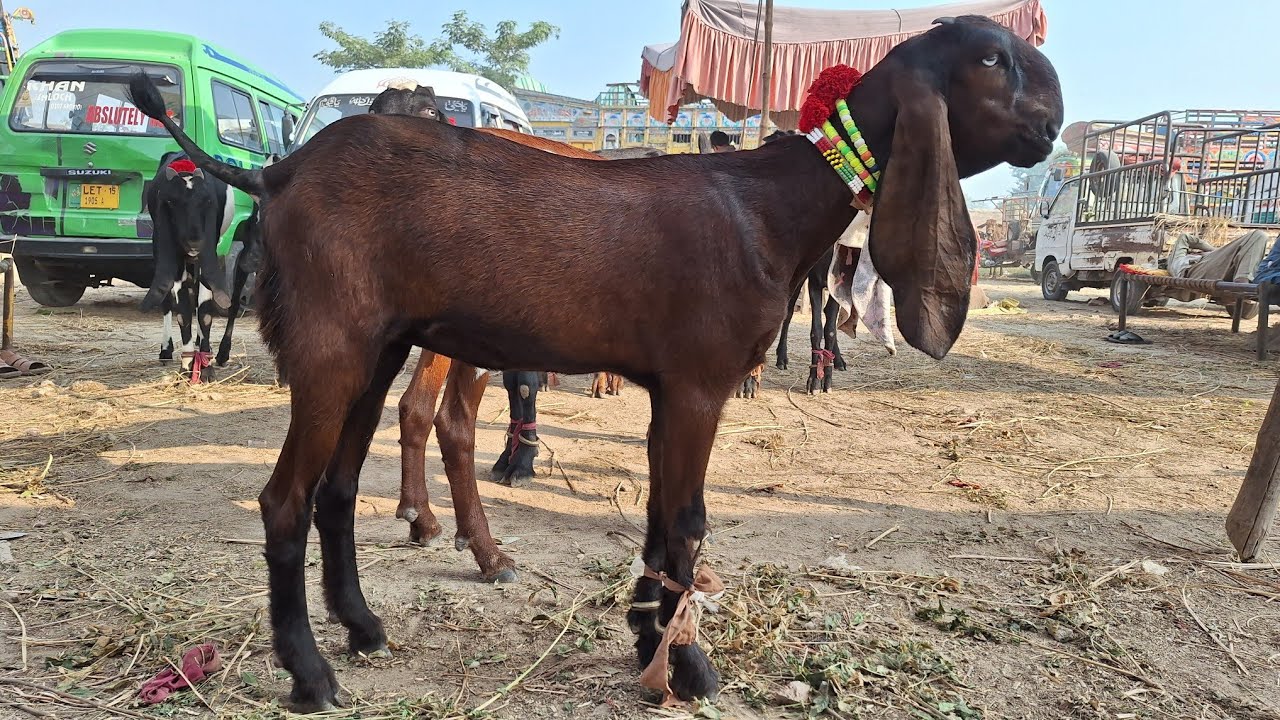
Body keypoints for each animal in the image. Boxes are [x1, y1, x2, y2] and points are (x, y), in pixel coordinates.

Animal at [130, 15, 1061, 710]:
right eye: (991, 57)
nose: (1052, 122)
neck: (771, 202)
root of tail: (277, 171)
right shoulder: (699, 383)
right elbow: (686, 521)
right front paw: (687, 667)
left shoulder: (669, 389)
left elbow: (655, 517)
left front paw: (649, 640)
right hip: (332, 341)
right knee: (284, 501)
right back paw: (310, 674)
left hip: (378, 343)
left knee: (337, 489)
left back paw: (363, 628)